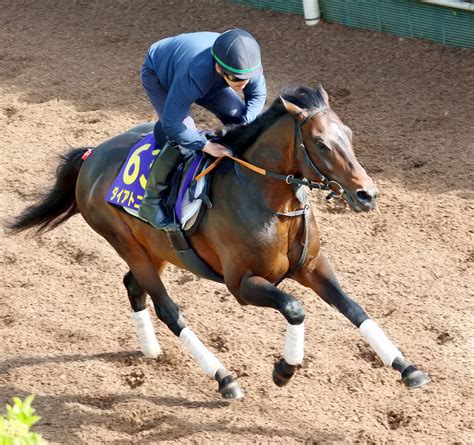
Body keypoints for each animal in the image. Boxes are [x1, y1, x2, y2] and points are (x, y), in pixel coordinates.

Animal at [7, 85, 430, 398]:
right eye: (322, 143)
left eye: (350, 136)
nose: (367, 195)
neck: (269, 201)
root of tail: (91, 156)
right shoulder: (241, 284)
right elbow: (295, 308)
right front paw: (284, 369)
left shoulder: (312, 266)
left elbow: (354, 307)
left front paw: (407, 368)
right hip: (125, 243)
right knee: (167, 308)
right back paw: (223, 377)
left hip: (155, 249)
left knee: (133, 286)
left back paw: (150, 350)